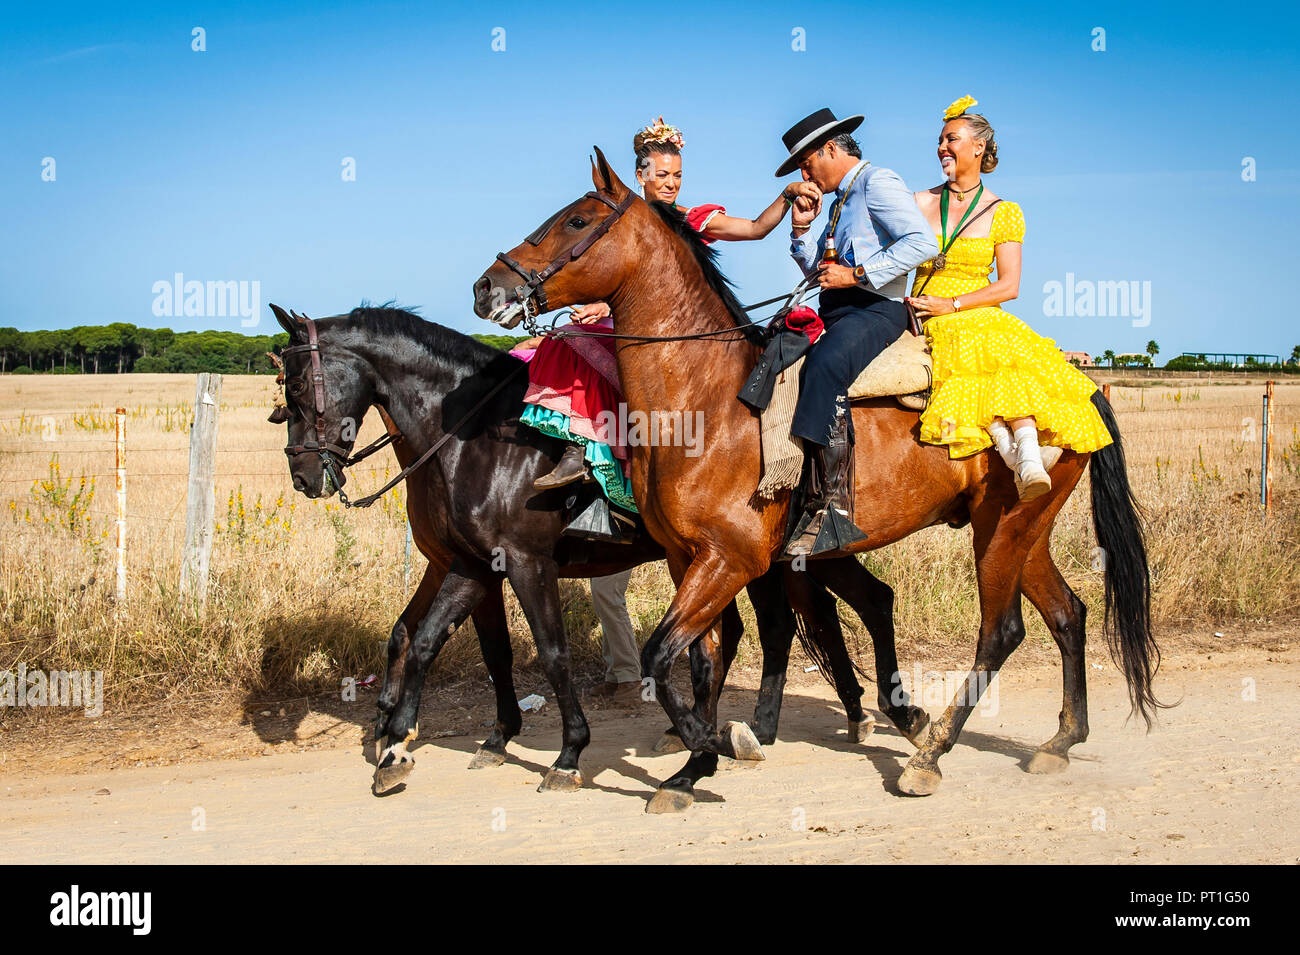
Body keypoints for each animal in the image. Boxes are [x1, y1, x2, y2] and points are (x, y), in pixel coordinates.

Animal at [263, 304, 894, 789]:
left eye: (295, 388)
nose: (303, 477)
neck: (476, 439)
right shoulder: (470, 565)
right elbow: (430, 642)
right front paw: (407, 740)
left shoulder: (524, 564)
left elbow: (551, 654)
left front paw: (567, 753)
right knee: (770, 625)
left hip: (756, 560)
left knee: (794, 622)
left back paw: (786, 724)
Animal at [473, 149, 1164, 815]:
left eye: (576, 221)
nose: (488, 286)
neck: (705, 401)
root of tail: (1082, 382)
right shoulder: (685, 558)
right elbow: (699, 658)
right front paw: (697, 754)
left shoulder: (731, 559)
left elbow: (663, 655)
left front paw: (702, 756)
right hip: (1024, 529)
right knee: (1067, 614)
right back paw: (1059, 739)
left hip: (1001, 529)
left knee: (1002, 631)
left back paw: (929, 754)